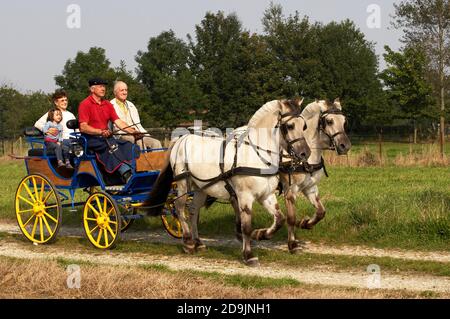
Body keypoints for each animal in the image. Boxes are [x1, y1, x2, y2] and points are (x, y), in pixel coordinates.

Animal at [144, 99, 310, 266]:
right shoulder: (244, 196)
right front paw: (249, 255)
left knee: (193, 210)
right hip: (183, 183)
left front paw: (260, 234)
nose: (305, 153)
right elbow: (246, 226)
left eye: (304, 126)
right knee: (179, 208)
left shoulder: (266, 195)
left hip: (201, 188)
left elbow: (280, 219)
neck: (257, 155)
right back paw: (188, 243)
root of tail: (181, 139)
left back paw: (198, 242)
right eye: (290, 126)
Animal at [282, 99, 352, 254]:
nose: (345, 146)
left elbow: (321, 212)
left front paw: (305, 223)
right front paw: (292, 244)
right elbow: (291, 217)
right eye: (329, 121)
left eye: (344, 121)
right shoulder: (290, 190)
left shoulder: (310, 188)